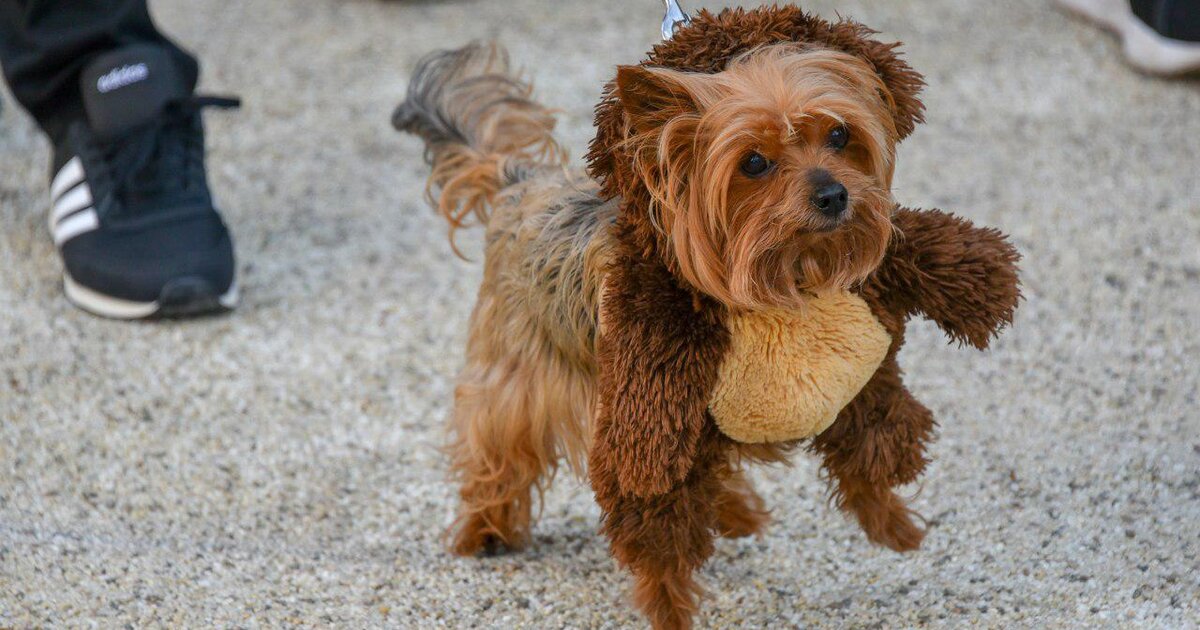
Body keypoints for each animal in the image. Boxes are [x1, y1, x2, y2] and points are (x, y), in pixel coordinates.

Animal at [393, 7, 1022, 624]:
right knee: (497, 444)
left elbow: (865, 443)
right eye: (754, 163)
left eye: (840, 134)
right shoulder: (648, 414)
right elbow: (658, 530)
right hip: (521, 369)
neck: (783, 281)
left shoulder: (848, 382)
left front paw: (894, 524)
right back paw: (485, 527)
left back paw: (736, 510)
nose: (834, 195)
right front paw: (669, 607)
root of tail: (521, 184)